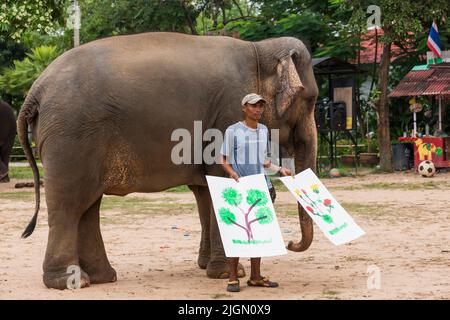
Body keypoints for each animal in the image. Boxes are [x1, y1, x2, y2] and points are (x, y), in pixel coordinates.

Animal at [19, 32, 318, 290]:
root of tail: (35, 90)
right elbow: (218, 179)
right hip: (70, 138)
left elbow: (204, 190)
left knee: (87, 207)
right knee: (70, 206)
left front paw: (211, 267)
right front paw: (225, 274)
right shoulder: (227, 114)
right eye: (311, 100)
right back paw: (71, 282)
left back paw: (101, 278)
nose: (291, 243)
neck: (260, 49)